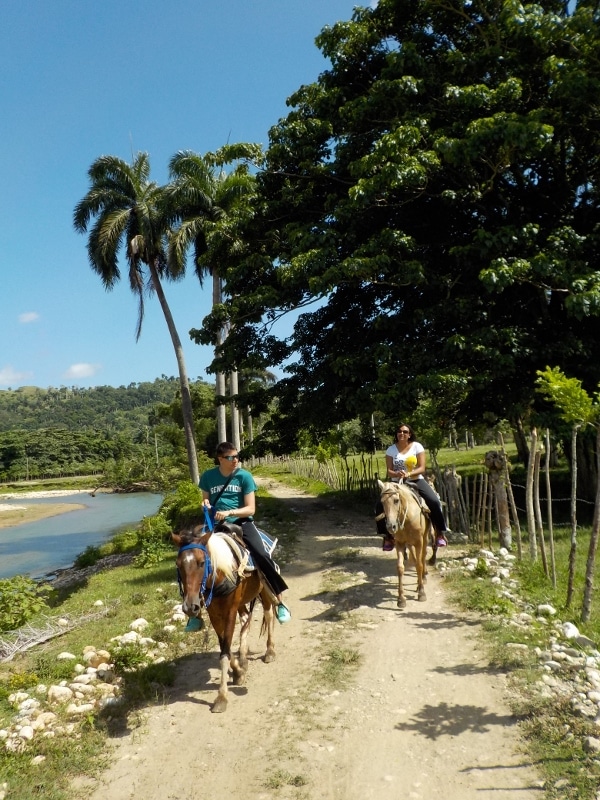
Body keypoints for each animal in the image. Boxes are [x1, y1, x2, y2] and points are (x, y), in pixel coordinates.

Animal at [172, 525, 276, 713]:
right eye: (178, 565)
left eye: (201, 562)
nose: (190, 607)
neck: (219, 574)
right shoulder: (215, 614)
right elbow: (224, 647)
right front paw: (239, 672)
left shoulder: (229, 611)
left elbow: (225, 652)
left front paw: (221, 697)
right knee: (246, 620)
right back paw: (243, 658)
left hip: (263, 590)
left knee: (268, 614)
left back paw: (270, 651)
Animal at [377, 479, 435, 608]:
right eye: (382, 502)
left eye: (396, 500)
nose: (391, 527)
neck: (407, 518)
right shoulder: (400, 543)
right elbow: (400, 568)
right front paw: (401, 599)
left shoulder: (419, 542)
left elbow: (419, 565)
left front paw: (421, 592)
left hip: (425, 538)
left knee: (423, 557)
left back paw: (422, 579)